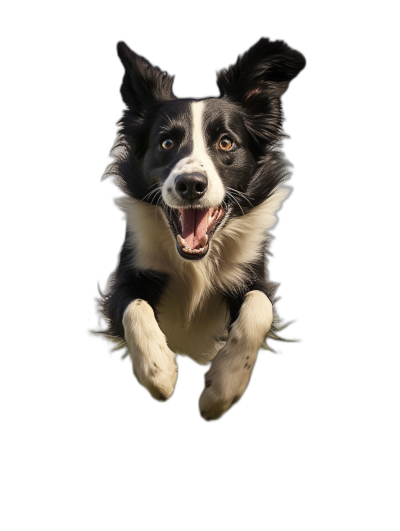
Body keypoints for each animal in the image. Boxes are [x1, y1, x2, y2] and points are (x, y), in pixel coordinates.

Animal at [94, 37, 306, 422]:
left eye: (226, 142)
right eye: (166, 143)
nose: (190, 184)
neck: (196, 264)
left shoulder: (256, 277)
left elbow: (259, 307)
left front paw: (222, 389)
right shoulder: (125, 278)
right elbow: (134, 306)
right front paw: (158, 370)